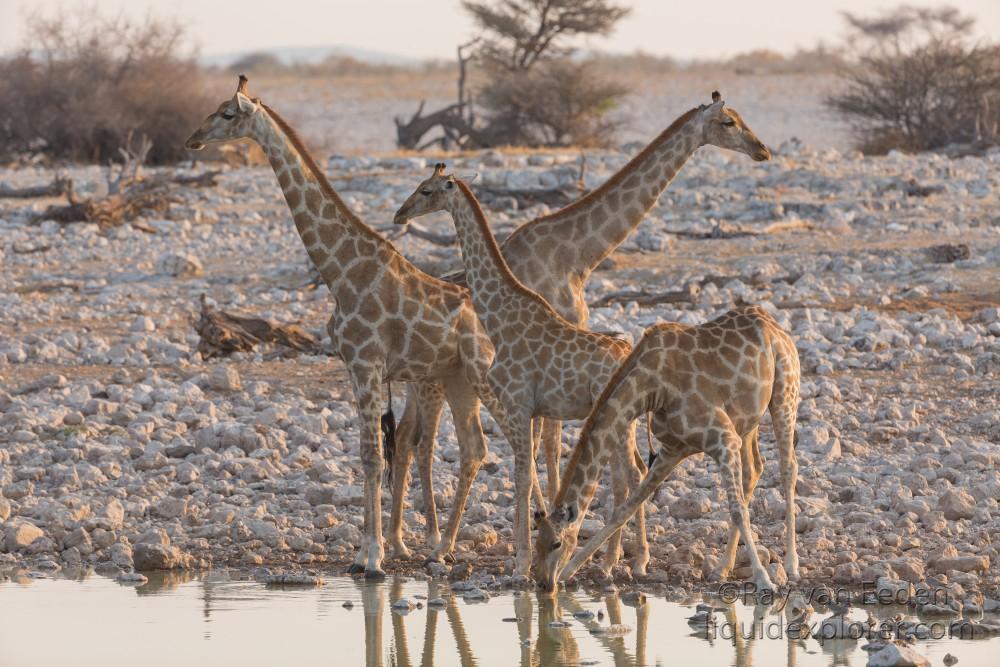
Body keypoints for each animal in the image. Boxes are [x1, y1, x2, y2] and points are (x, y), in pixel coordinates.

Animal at [185, 75, 508, 580]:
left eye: (227, 113)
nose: (193, 139)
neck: (340, 271)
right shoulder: (354, 369)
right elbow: (364, 453)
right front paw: (364, 554)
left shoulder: (368, 364)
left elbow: (375, 456)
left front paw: (374, 557)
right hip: (456, 379)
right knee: (475, 447)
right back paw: (445, 548)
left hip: (480, 374)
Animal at [390, 167, 648, 580]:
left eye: (426, 190)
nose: (400, 214)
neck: (500, 314)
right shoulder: (527, 407)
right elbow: (525, 472)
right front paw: (524, 556)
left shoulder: (518, 403)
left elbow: (523, 475)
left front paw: (522, 561)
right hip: (622, 421)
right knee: (632, 474)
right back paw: (622, 559)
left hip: (618, 420)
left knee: (632, 476)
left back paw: (621, 562)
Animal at [394, 88, 768, 516]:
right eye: (728, 122)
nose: (762, 150)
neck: (578, 255)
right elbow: (551, 441)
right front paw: (550, 508)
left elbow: (549, 439)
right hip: (435, 380)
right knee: (421, 443)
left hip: (428, 381)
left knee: (406, 439)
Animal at [536, 304, 800, 596]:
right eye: (537, 542)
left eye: (556, 543)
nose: (543, 584)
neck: (651, 388)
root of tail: (772, 323)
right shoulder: (673, 448)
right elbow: (625, 509)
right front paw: (571, 571)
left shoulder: (723, 439)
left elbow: (737, 510)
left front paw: (764, 579)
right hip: (747, 420)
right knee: (754, 468)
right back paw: (722, 568)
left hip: (785, 395)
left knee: (788, 469)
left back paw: (791, 566)